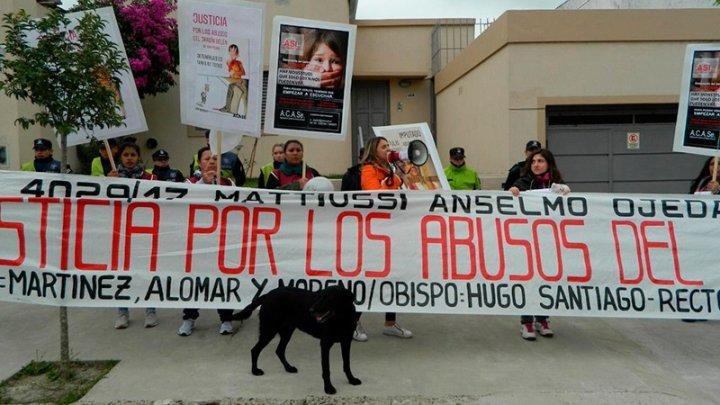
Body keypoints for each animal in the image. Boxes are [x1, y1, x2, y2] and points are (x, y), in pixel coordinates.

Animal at [233, 284, 362, 392]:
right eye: (319, 296)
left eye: (328, 298)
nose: (311, 311)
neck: (341, 319)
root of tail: (268, 294)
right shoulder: (325, 344)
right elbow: (326, 369)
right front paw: (328, 388)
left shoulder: (346, 342)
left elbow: (347, 364)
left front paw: (352, 380)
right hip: (269, 330)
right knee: (255, 350)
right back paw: (255, 371)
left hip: (286, 332)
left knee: (279, 350)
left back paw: (289, 368)